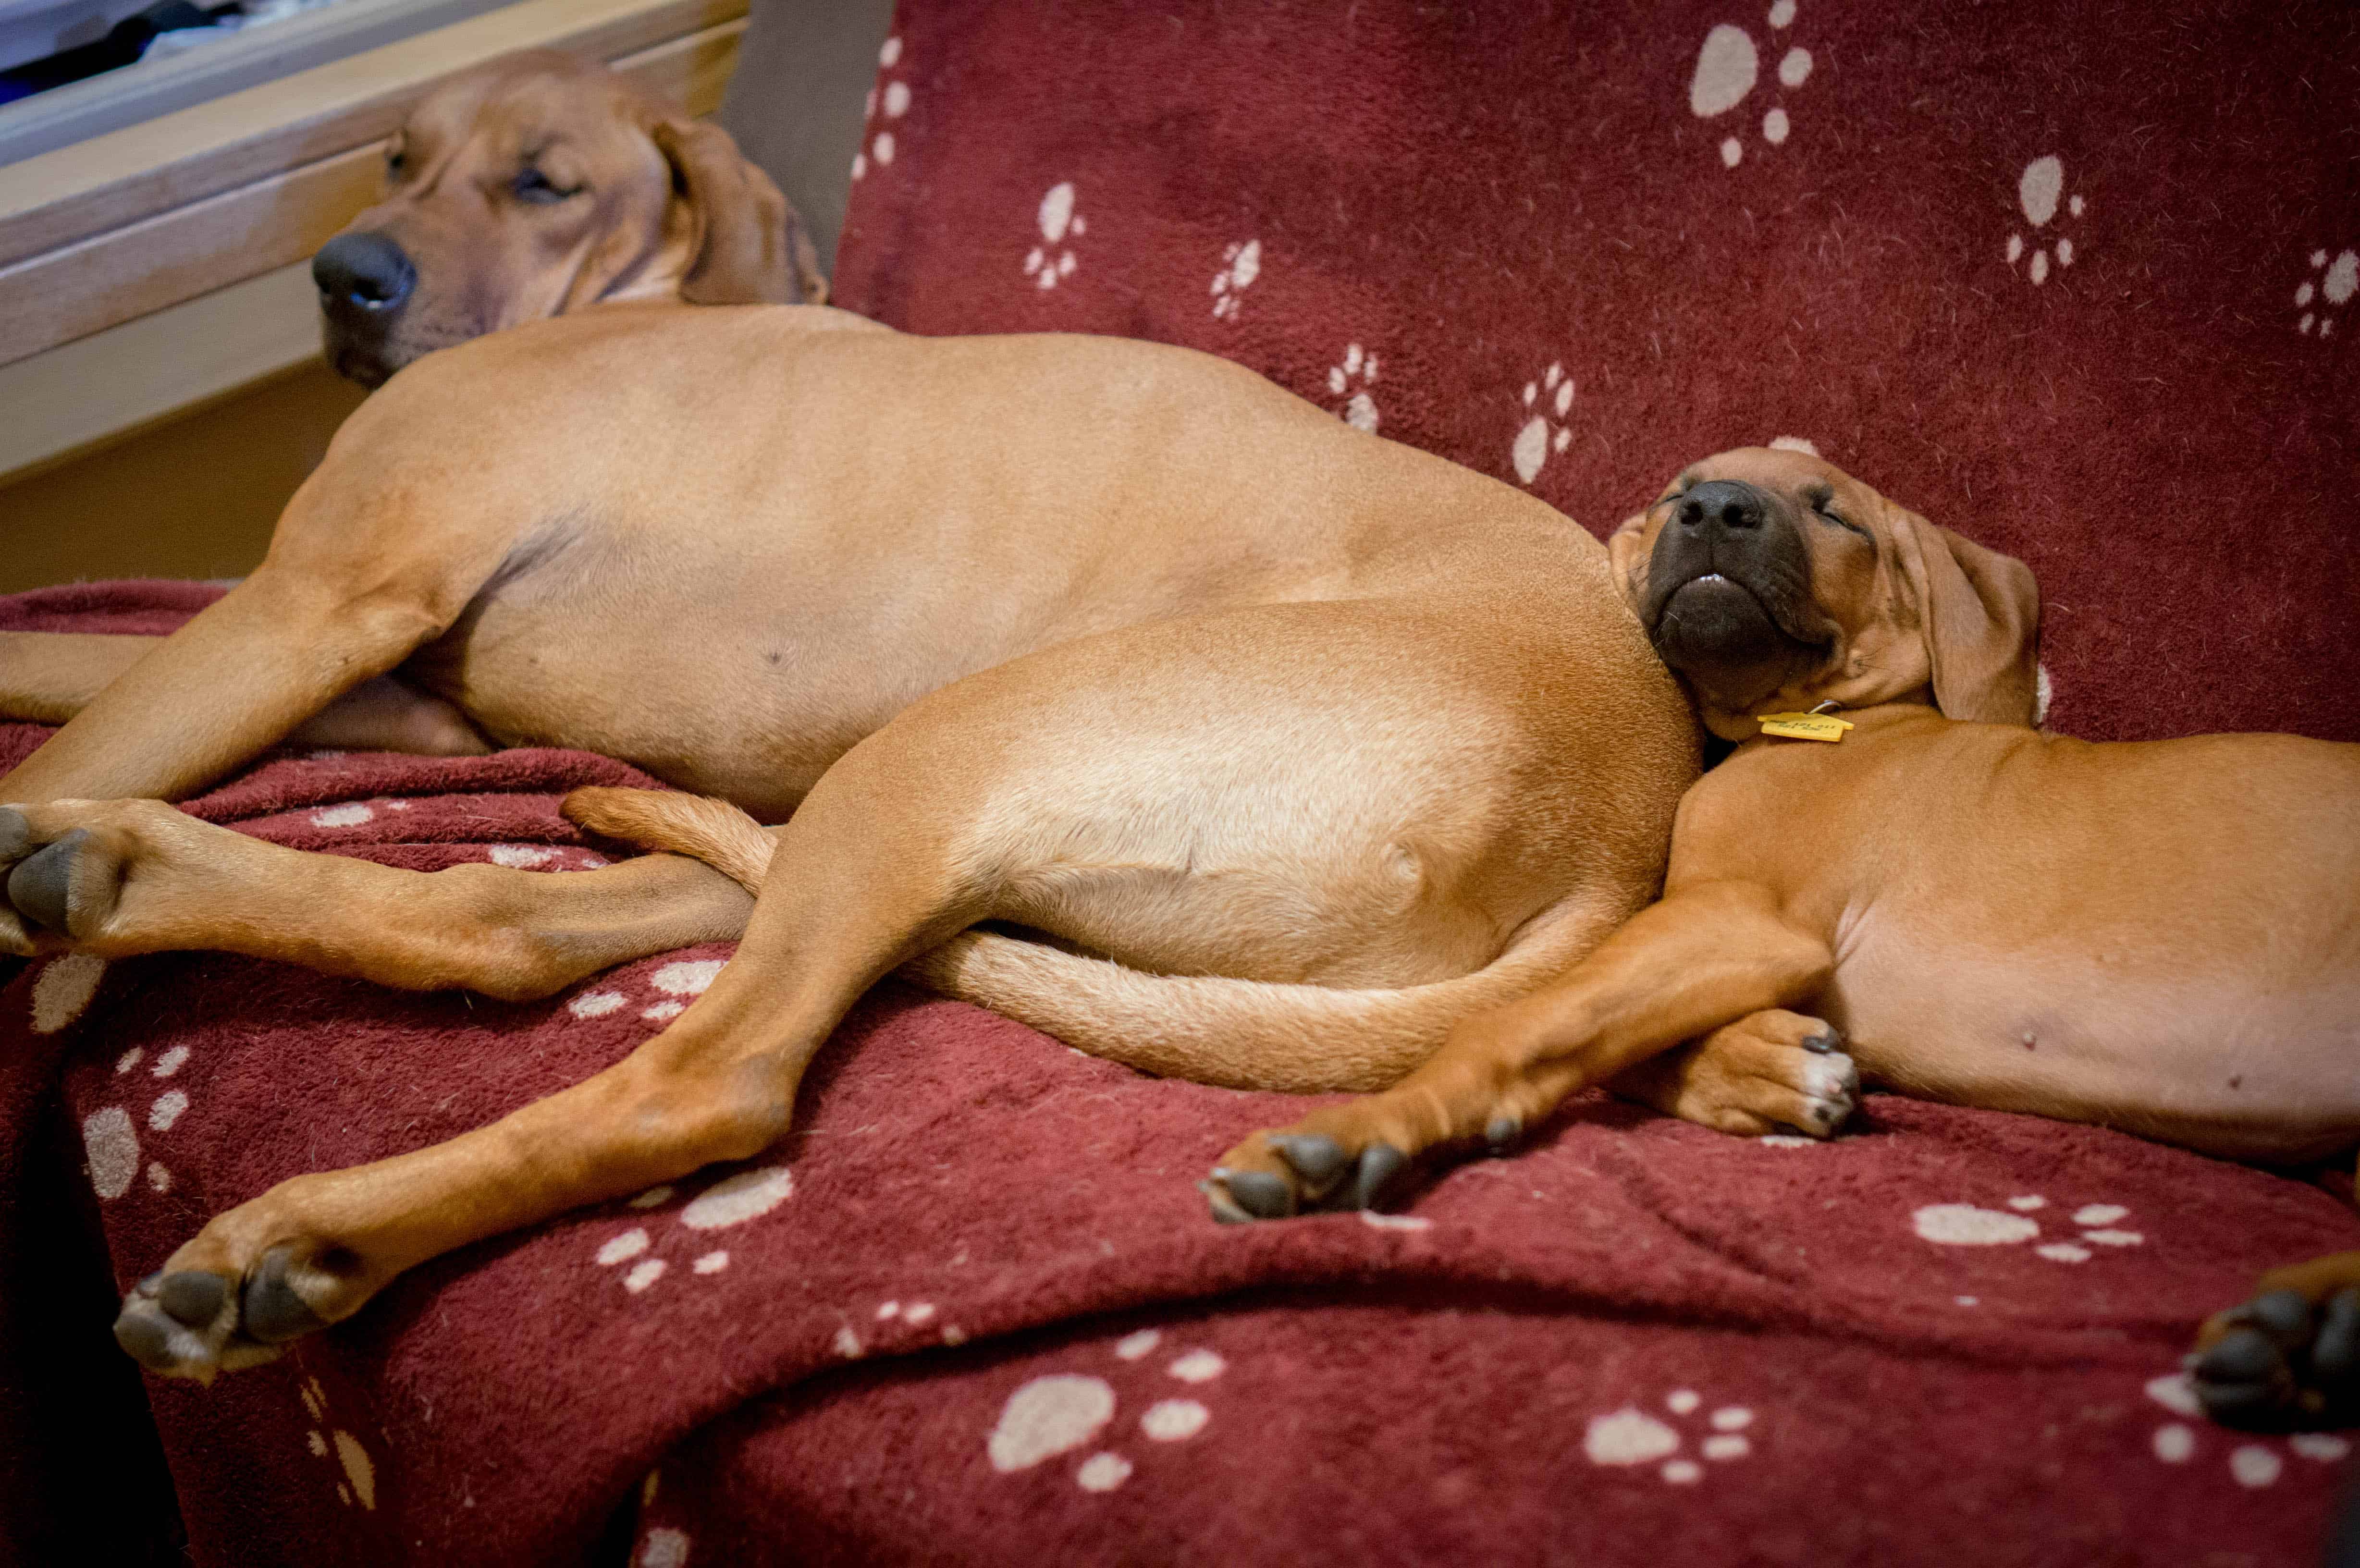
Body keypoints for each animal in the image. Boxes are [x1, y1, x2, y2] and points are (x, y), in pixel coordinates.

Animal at [1199, 444, 2360, 1435]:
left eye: (1832, 510)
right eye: (1678, 490)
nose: (1715, 511)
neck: (1831, 719)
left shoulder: (1736, 917)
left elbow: (1513, 1021)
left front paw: (1352, 1138)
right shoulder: (1712, 931)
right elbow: (1600, 1038)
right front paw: (1766, 1072)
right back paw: (2310, 1337)